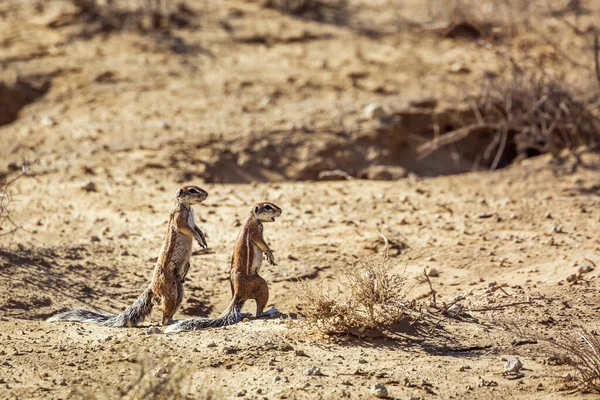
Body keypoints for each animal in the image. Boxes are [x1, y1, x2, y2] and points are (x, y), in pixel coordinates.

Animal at [46, 186, 209, 326]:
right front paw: (199, 239)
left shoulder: (192, 221)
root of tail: (152, 287)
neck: (188, 206)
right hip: (171, 291)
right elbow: (188, 229)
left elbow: (197, 228)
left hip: (179, 290)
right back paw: (170, 322)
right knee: (164, 316)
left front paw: (203, 239)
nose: (206, 194)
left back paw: (176, 320)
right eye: (192, 190)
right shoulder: (178, 216)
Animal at [165, 202, 282, 332]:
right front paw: (270, 255)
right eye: (267, 207)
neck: (252, 218)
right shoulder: (256, 230)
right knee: (258, 313)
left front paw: (268, 257)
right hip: (261, 285)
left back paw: (243, 314)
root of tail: (237, 293)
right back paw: (269, 311)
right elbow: (263, 244)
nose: (280, 211)